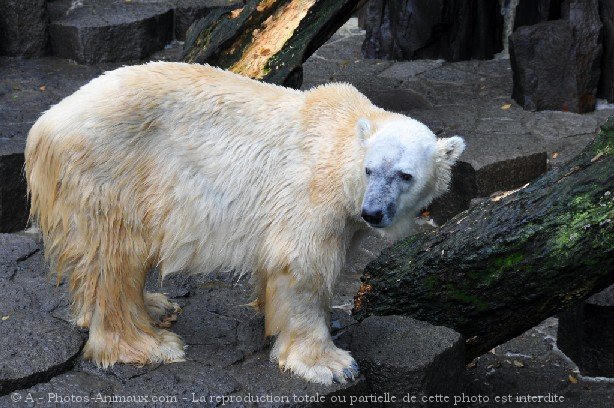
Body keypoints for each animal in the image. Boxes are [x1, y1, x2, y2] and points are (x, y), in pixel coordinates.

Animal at [25, 63, 466, 386]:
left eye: (405, 175)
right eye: (370, 169)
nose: (373, 213)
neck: (342, 135)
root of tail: (45, 123)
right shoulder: (312, 193)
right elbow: (303, 265)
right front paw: (331, 363)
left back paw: (154, 306)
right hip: (113, 170)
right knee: (116, 255)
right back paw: (149, 344)